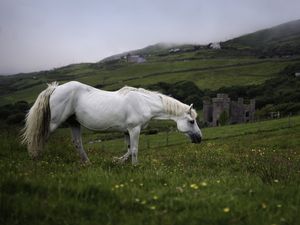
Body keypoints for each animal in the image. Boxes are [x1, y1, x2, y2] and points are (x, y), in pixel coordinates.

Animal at [22, 81, 203, 163]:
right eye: (191, 121)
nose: (200, 138)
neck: (144, 102)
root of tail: (55, 88)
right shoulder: (134, 129)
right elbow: (135, 149)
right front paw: (135, 166)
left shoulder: (126, 131)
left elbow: (129, 150)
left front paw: (118, 161)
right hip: (54, 123)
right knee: (39, 137)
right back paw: (36, 158)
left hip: (74, 123)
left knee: (77, 143)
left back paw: (87, 163)